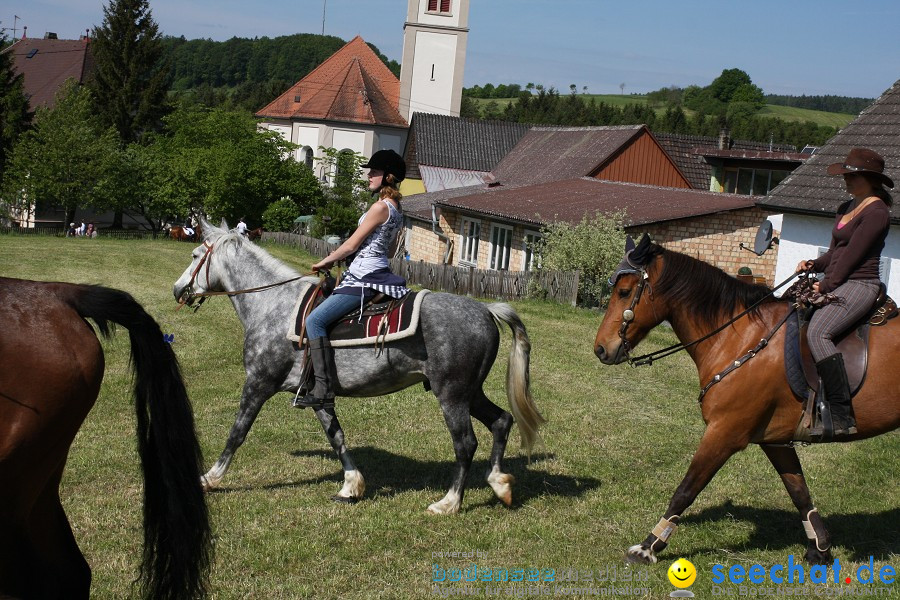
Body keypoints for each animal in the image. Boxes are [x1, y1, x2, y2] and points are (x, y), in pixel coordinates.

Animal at [173, 223, 544, 512]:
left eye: (194, 255)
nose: (178, 290)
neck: (273, 306)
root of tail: (485, 310)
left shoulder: (258, 383)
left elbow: (237, 433)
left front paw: (209, 478)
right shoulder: (316, 394)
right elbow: (336, 436)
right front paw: (351, 485)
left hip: (452, 395)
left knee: (465, 444)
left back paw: (449, 502)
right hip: (470, 392)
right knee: (501, 421)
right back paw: (499, 484)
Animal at [592, 237, 900, 564]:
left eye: (624, 292)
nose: (601, 349)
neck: (739, 337)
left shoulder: (724, 432)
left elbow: (686, 489)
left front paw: (649, 546)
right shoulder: (776, 441)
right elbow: (799, 492)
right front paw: (820, 548)